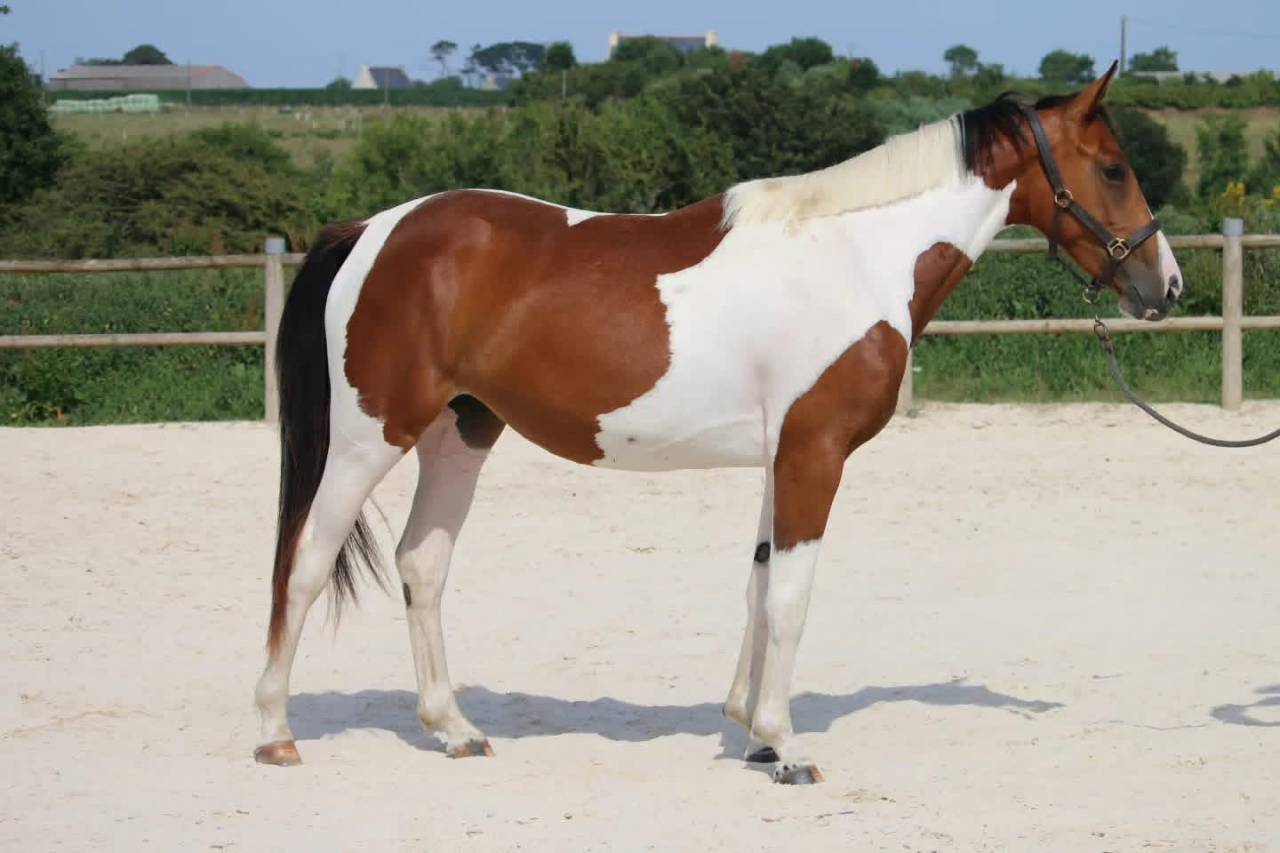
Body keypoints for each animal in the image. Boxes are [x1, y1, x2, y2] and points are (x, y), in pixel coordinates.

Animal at [253, 63, 1183, 784]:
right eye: (1111, 168)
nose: (1165, 285)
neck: (857, 255)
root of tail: (372, 229)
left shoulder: (782, 456)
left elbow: (761, 585)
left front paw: (752, 734)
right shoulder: (815, 454)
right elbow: (795, 595)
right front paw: (787, 745)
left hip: (461, 433)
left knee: (423, 562)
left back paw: (453, 729)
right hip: (369, 438)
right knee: (304, 561)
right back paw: (276, 733)